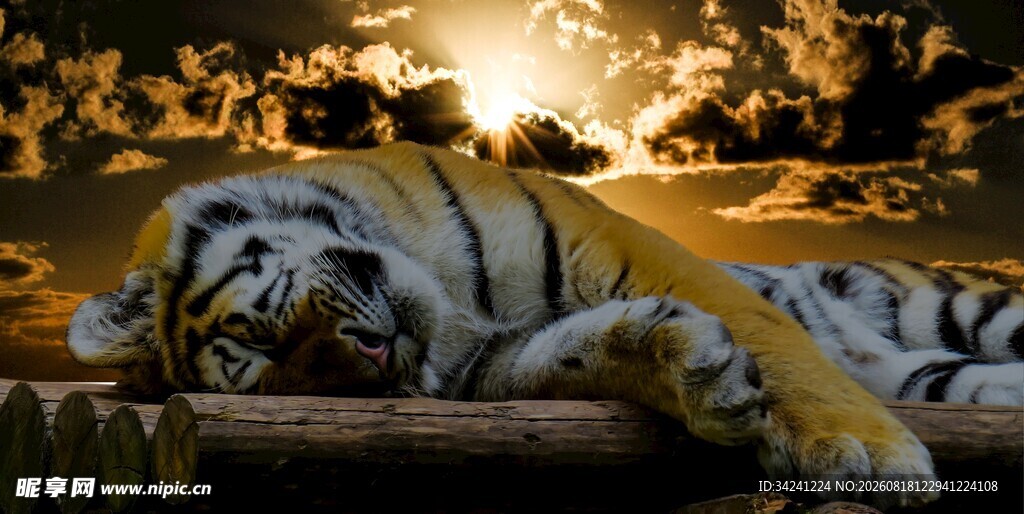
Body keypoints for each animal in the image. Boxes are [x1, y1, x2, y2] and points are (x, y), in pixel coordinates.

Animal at [64, 142, 1022, 507]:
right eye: (291, 376)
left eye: (269, 343)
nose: (377, 357)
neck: (449, 300)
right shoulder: (492, 365)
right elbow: (572, 356)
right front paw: (696, 368)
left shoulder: (617, 239)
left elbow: (773, 334)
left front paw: (865, 455)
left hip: (964, 307)